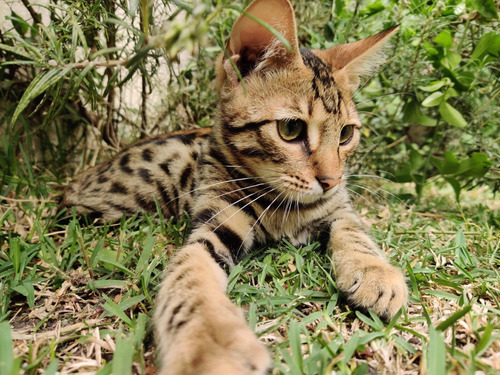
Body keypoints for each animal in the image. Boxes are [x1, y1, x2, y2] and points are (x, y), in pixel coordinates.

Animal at [58, 1, 408, 374]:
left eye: (346, 134)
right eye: (290, 129)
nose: (331, 181)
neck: (283, 206)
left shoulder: (338, 208)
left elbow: (355, 231)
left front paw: (376, 274)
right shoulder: (216, 222)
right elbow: (190, 274)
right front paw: (209, 344)